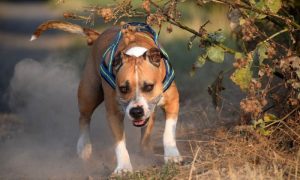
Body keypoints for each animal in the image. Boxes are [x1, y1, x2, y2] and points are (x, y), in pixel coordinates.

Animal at [31, 20, 180, 173]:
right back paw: (84, 147)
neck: (134, 53)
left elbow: (168, 132)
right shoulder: (113, 113)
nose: (136, 111)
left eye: (149, 87)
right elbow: (119, 142)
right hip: (89, 93)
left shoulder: (173, 102)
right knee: (84, 118)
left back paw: (146, 150)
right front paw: (123, 167)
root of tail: (98, 35)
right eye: (123, 88)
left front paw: (172, 156)